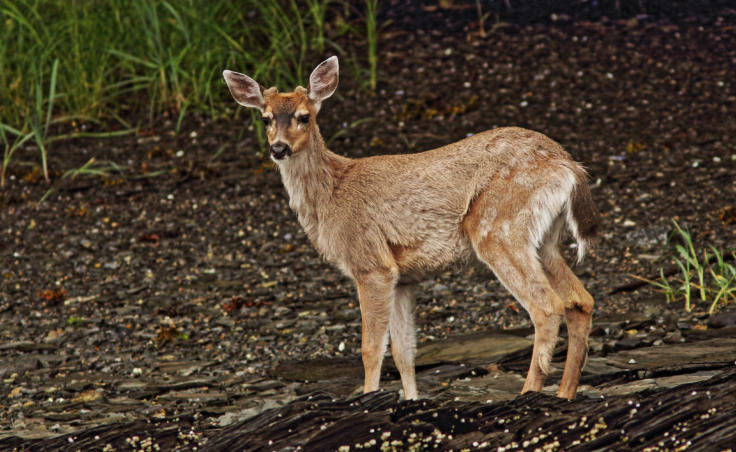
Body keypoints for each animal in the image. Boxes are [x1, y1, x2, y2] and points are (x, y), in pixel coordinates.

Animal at [223, 56, 600, 401]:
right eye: (265, 118)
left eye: (304, 116)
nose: (278, 148)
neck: (331, 198)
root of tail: (568, 166)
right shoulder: (403, 278)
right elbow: (404, 353)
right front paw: (410, 400)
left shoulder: (372, 264)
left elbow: (371, 349)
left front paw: (369, 396)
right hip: (543, 240)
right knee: (580, 300)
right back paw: (564, 393)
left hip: (498, 228)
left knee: (547, 307)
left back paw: (529, 392)